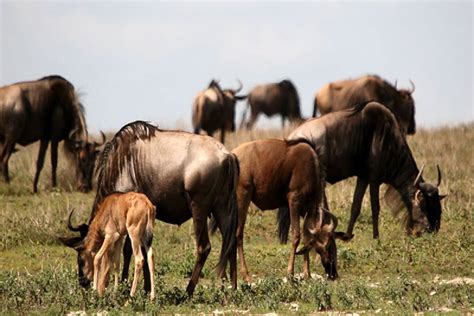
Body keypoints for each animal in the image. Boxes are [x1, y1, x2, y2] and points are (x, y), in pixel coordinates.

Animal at [231, 138, 344, 282]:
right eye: (329, 245)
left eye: (333, 244)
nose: (333, 273)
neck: (312, 166)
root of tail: (232, 155)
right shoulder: (294, 202)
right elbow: (296, 236)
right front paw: (290, 273)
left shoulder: (307, 210)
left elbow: (306, 238)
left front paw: (307, 274)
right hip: (243, 197)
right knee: (238, 234)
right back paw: (246, 275)